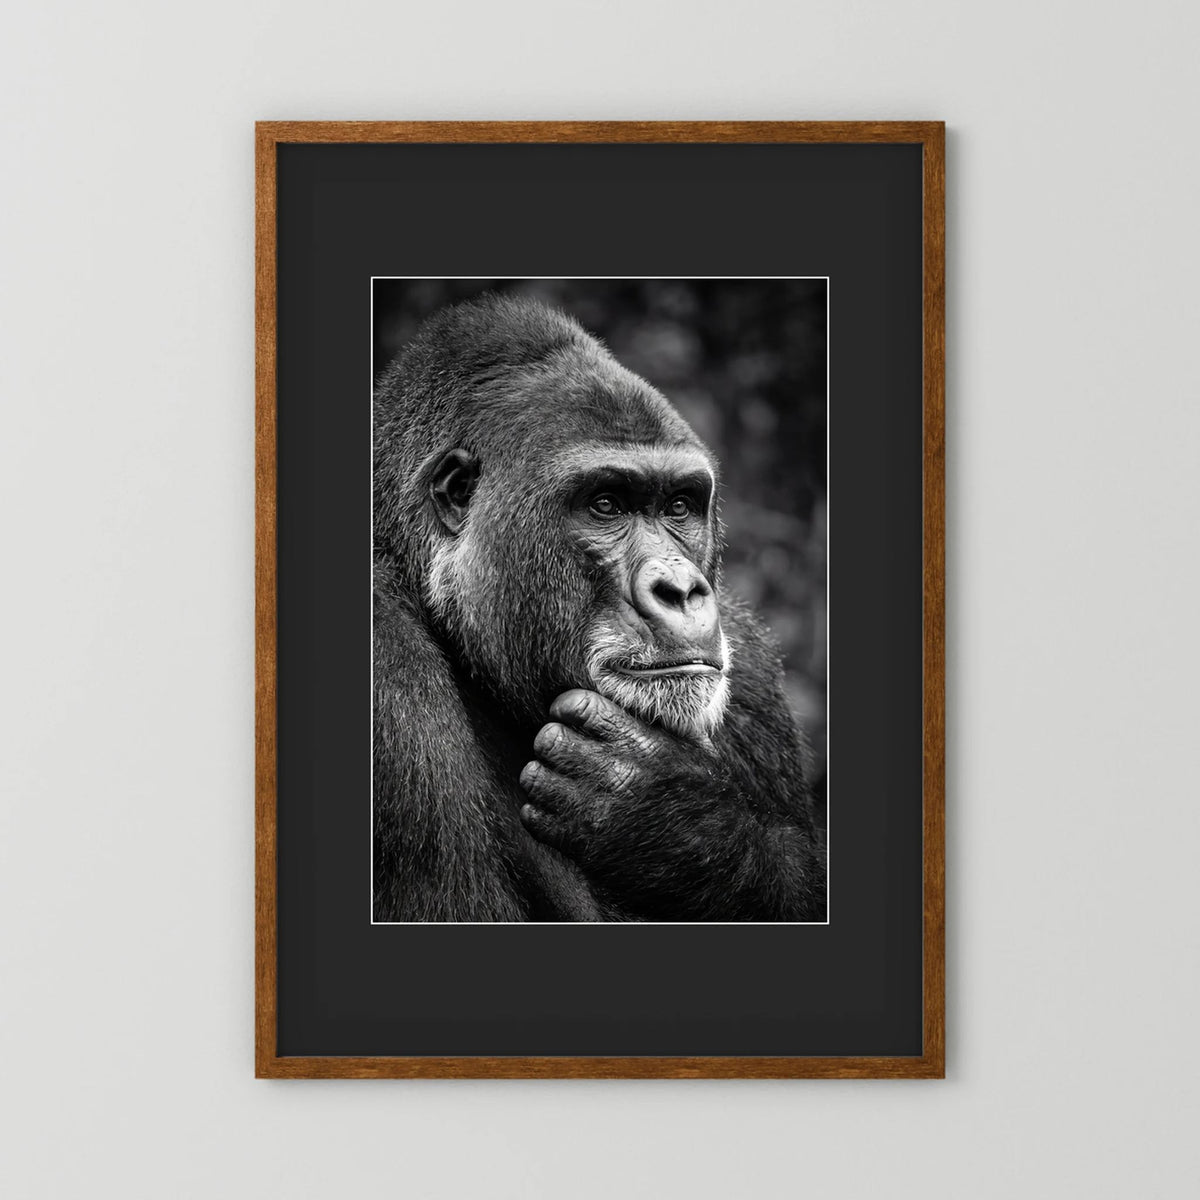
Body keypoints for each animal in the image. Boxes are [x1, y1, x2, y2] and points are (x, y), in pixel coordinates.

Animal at [372, 293, 826, 921]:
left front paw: (678, 816)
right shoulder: (386, 674)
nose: (680, 589)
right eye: (606, 505)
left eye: (679, 505)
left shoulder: (753, 668)